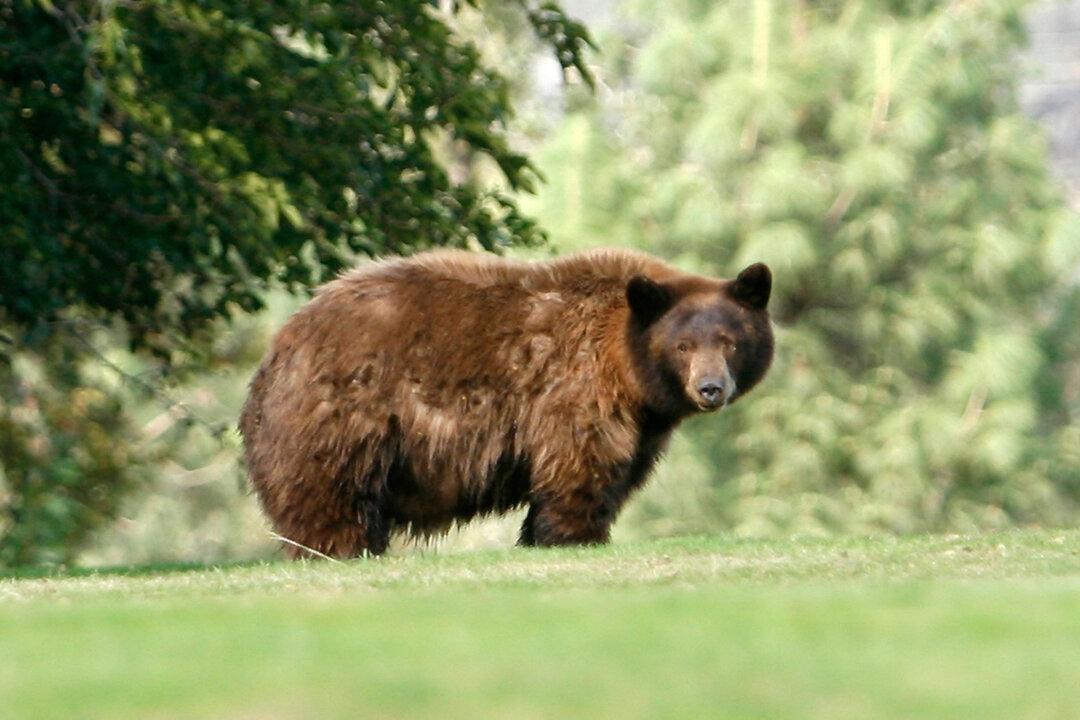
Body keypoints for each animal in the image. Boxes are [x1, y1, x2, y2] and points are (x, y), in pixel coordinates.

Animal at [239, 248, 773, 558]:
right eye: (683, 345)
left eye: (729, 341)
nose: (710, 388)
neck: (629, 369)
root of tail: (280, 343)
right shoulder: (577, 387)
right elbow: (580, 461)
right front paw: (577, 535)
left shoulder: (644, 424)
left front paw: (541, 535)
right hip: (345, 407)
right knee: (330, 485)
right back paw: (336, 546)